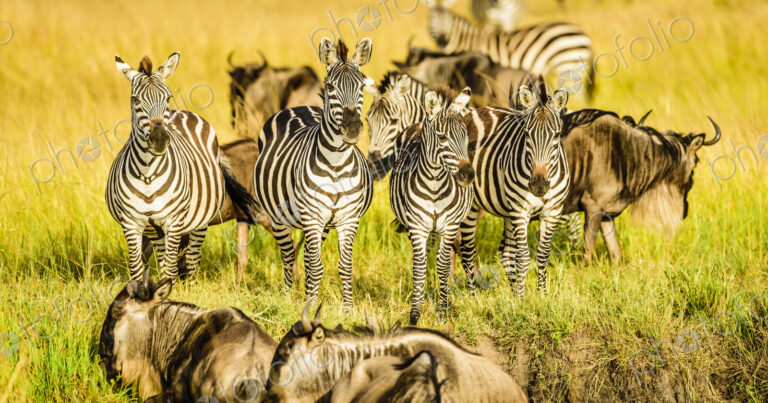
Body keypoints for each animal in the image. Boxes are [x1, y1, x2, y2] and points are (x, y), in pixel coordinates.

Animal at [107, 52, 259, 283]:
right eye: (135, 100)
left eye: (168, 98)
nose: (160, 140)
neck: (148, 174)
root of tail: (183, 113)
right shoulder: (131, 223)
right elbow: (137, 269)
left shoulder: (173, 221)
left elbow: (171, 269)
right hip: (156, 230)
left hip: (199, 221)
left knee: (192, 259)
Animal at [253, 38, 374, 308]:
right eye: (330, 86)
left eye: (362, 86)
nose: (352, 129)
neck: (337, 164)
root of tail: (299, 106)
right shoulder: (311, 216)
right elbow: (316, 266)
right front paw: (308, 306)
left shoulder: (348, 218)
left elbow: (344, 266)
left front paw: (347, 309)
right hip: (279, 217)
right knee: (289, 255)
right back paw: (287, 297)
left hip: (325, 224)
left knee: (308, 257)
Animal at [390, 88, 475, 325]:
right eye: (443, 137)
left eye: (465, 136)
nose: (468, 175)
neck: (435, 185)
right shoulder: (417, 227)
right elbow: (419, 267)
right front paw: (415, 314)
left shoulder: (450, 226)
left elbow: (443, 265)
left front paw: (443, 311)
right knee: (425, 256)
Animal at [460, 78, 569, 296]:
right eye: (526, 134)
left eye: (557, 135)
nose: (539, 185)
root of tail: (474, 111)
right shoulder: (520, 210)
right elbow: (524, 257)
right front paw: (523, 298)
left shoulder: (553, 211)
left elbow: (543, 255)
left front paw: (540, 295)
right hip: (473, 206)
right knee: (468, 251)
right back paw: (472, 296)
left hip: (507, 211)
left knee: (506, 251)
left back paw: (511, 295)